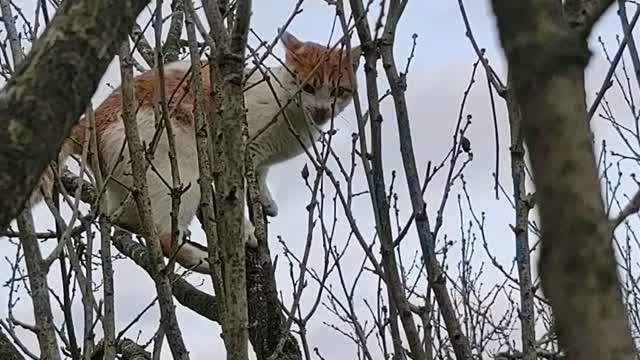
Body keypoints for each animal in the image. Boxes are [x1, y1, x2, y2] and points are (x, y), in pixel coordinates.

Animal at [28, 32, 360, 272]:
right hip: (178, 173)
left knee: (124, 219)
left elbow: (261, 174)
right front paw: (246, 229)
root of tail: (92, 119)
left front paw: (265, 200)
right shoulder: (238, 151)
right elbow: (237, 196)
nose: (321, 111)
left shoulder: (258, 159)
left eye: (338, 92)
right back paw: (202, 261)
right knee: (162, 237)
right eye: (308, 87)